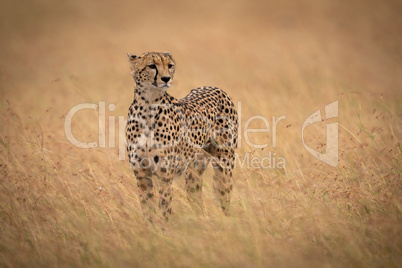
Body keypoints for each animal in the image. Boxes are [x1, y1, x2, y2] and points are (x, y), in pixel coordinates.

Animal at [125, 52, 237, 222]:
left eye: (170, 65)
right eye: (151, 66)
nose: (166, 78)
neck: (149, 106)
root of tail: (215, 88)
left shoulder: (165, 175)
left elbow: (164, 209)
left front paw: (164, 228)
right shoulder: (141, 173)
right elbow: (147, 209)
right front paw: (151, 228)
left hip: (224, 165)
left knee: (224, 196)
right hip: (194, 172)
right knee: (197, 200)